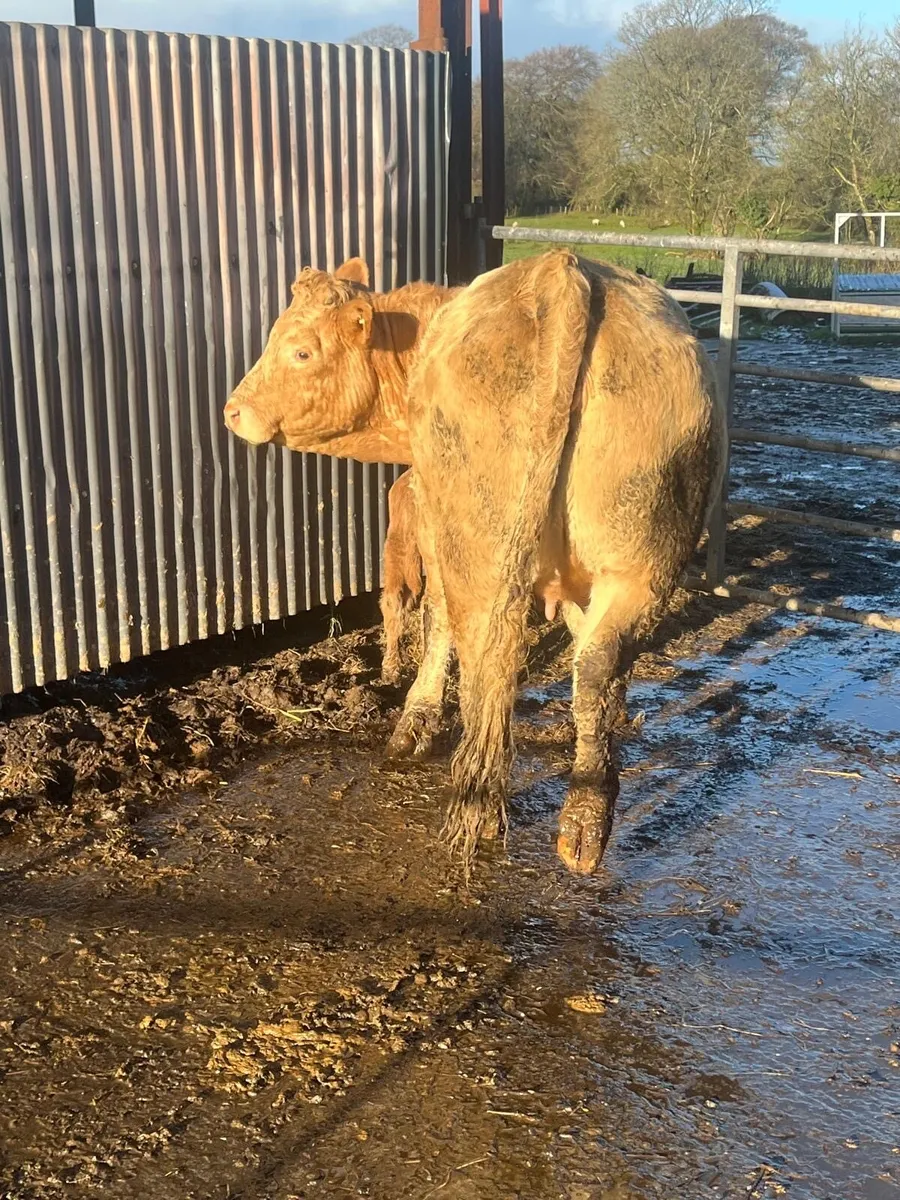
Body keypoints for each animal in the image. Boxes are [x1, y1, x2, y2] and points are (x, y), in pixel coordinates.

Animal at [224, 251, 725, 876]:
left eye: (301, 351)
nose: (233, 410)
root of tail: (562, 270)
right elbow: (581, 643)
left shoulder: (432, 520)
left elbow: (435, 618)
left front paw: (414, 724)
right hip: (641, 560)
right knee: (598, 662)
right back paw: (585, 821)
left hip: (477, 551)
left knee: (486, 654)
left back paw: (476, 802)